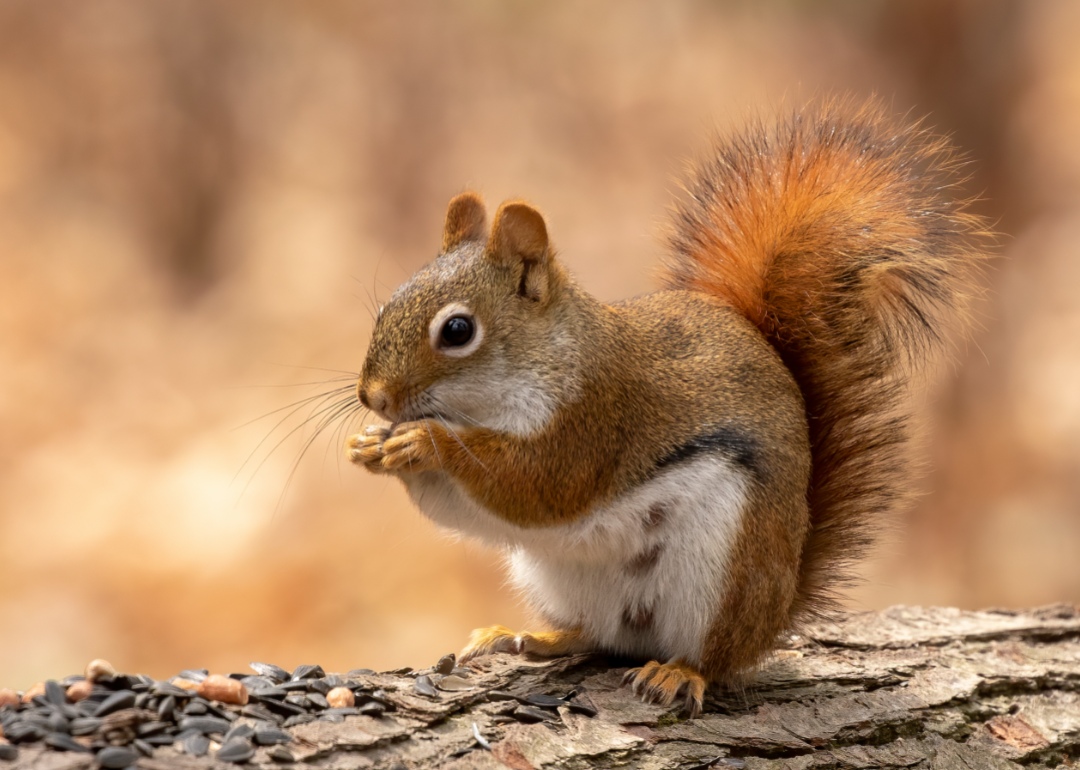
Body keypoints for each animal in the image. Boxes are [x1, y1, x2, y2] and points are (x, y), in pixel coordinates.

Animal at [343, 100, 989, 712]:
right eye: (386, 307)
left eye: (457, 330)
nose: (373, 397)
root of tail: (777, 609)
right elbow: (465, 510)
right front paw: (370, 447)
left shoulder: (596, 419)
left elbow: (533, 485)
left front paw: (424, 441)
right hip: (558, 576)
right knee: (596, 634)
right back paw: (529, 636)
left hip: (724, 567)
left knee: (715, 657)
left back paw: (679, 673)